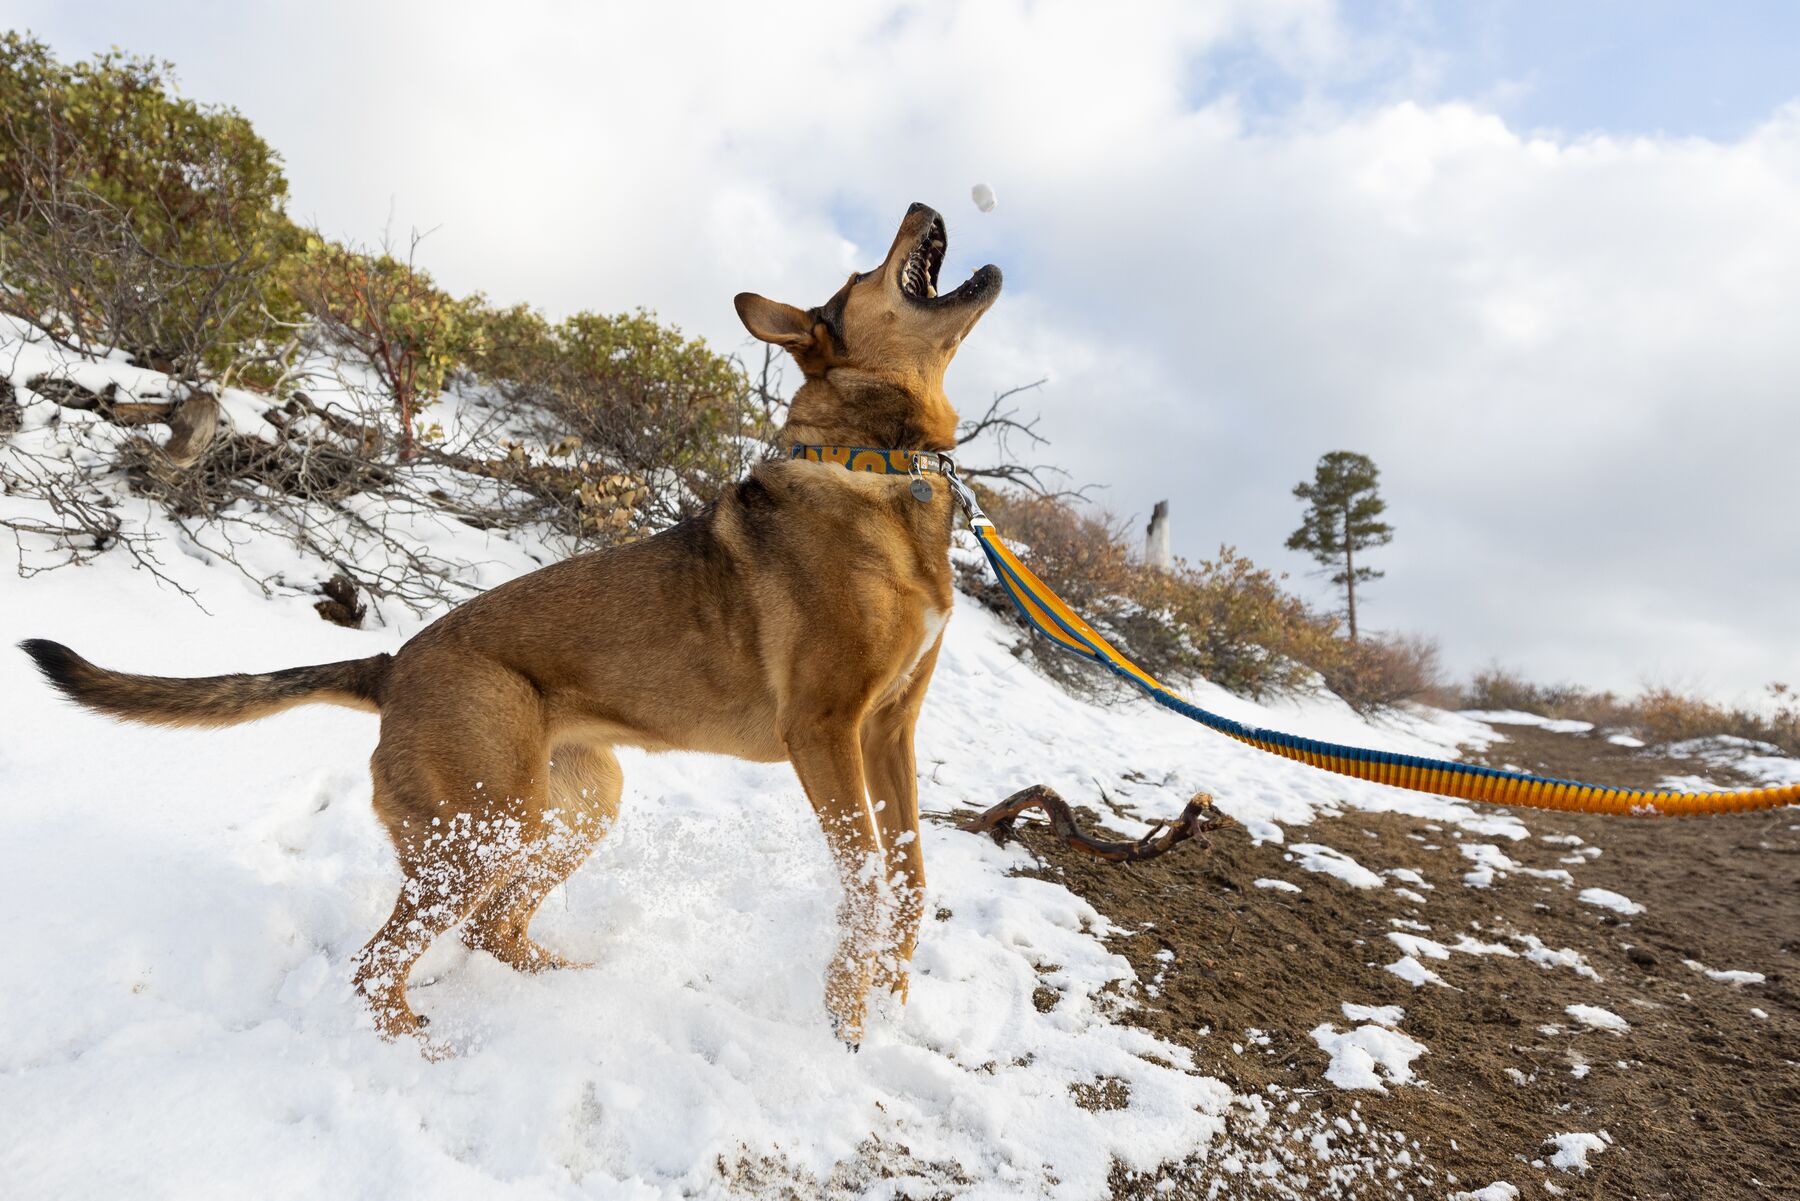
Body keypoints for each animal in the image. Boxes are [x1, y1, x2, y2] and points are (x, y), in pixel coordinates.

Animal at [17, 201, 1000, 1044]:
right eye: (862, 273)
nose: (922, 205)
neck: (878, 465)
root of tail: (389, 665)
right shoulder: (825, 731)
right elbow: (868, 886)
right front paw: (847, 1018)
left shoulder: (889, 730)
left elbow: (911, 880)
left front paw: (888, 999)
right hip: (483, 826)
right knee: (379, 964)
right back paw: (427, 1049)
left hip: (570, 807)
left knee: (491, 927)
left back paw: (564, 985)